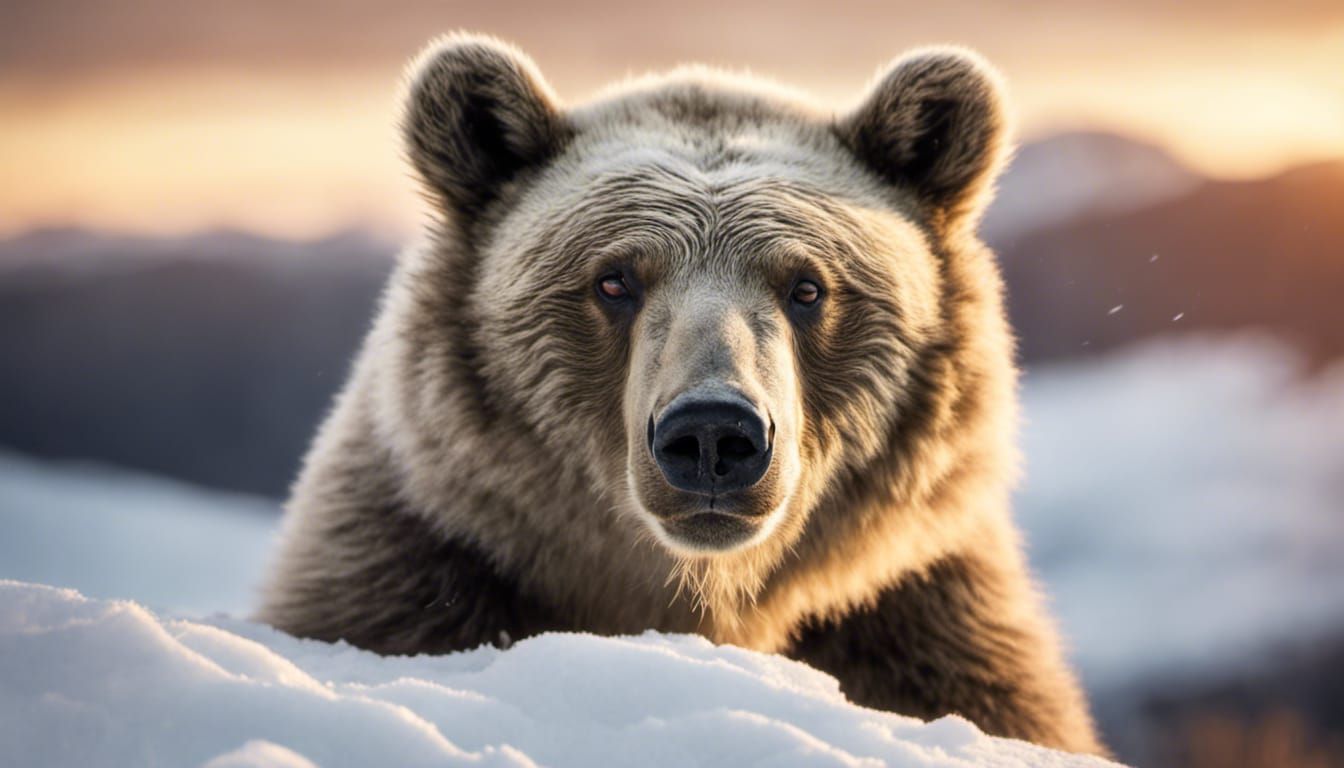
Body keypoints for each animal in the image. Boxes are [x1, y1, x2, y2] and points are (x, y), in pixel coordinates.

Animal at [258, 33, 1103, 755]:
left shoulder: (918, 618)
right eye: (613, 279)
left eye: (807, 286)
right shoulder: (421, 576)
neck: (700, 603)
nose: (713, 433)